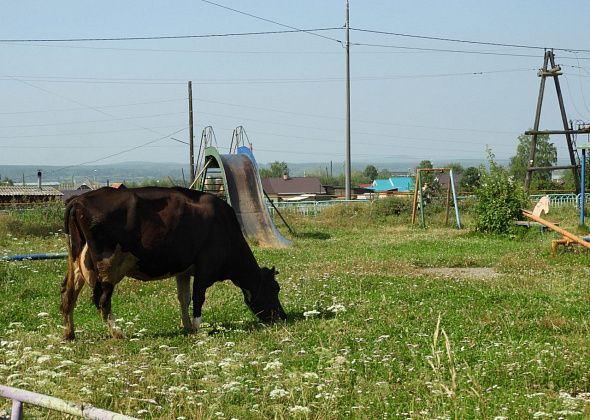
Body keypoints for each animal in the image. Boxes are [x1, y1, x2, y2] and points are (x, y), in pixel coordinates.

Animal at [61, 186, 288, 338]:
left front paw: (186, 325)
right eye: (274, 289)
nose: (282, 316)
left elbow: (184, 298)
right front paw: (198, 328)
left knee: (67, 293)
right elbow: (198, 297)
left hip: (78, 261)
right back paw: (118, 333)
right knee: (102, 300)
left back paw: (70, 334)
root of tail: (80, 199)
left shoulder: (184, 270)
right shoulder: (205, 268)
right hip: (108, 266)